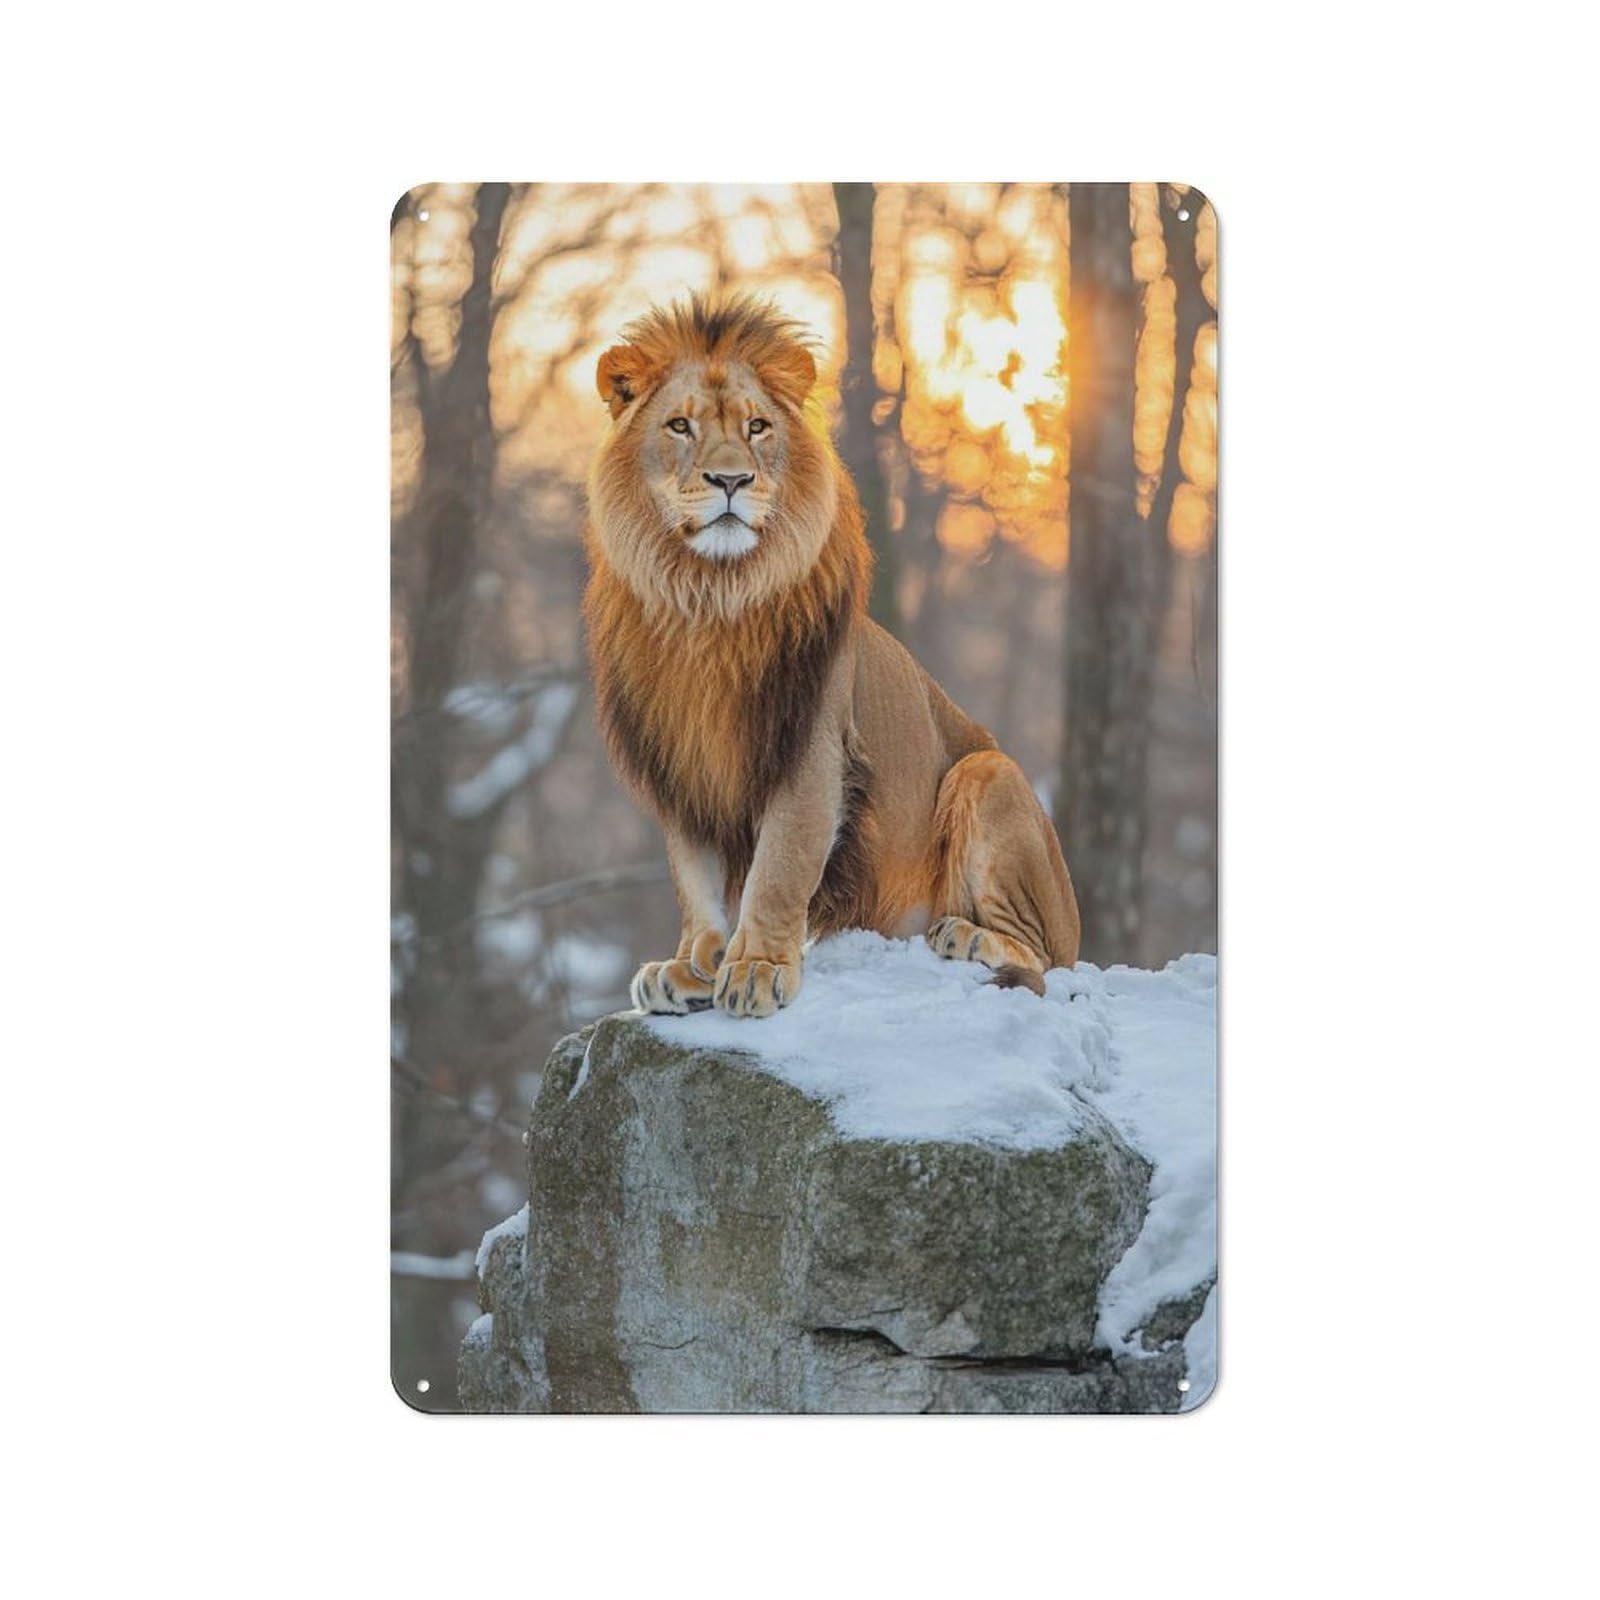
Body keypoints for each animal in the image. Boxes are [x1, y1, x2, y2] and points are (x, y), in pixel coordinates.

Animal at [584, 295, 1080, 1018]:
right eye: (679, 426)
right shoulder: (682, 761)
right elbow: (695, 878)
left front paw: (757, 968)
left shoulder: (810, 748)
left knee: (1043, 957)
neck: (710, 598)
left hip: (989, 775)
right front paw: (693, 965)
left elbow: (779, 869)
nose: (730, 479)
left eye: (757, 427)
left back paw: (962, 935)